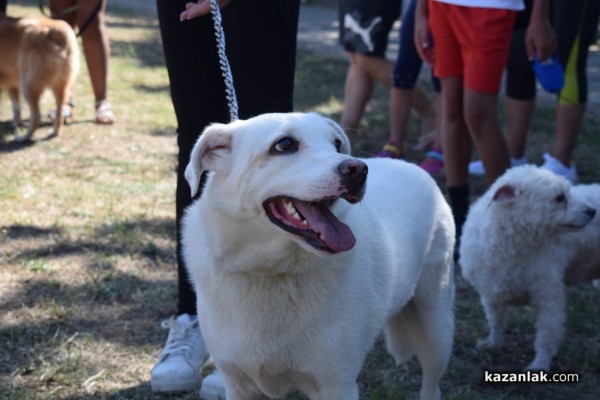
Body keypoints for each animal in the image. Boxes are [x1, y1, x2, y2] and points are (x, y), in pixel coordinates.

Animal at [0, 14, 79, 142]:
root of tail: (58, 30)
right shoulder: (12, 84)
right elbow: (16, 107)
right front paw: (16, 123)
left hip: (28, 85)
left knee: (37, 117)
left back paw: (24, 137)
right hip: (60, 85)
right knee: (60, 112)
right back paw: (54, 132)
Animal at [183, 112, 454, 400]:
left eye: (337, 144)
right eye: (284, 144)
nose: (359, 170)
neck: (272, 272)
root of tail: (411, 166)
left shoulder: (337, 385)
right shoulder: (238, 386)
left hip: (436, 326)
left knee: (432, 383)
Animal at [458, 166, 596, 372]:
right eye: (559, 198)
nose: (592, 211)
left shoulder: (549, 297)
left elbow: (547, 334)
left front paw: (540, 365)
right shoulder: (491, 294)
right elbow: (496, 322)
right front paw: (493, 344)